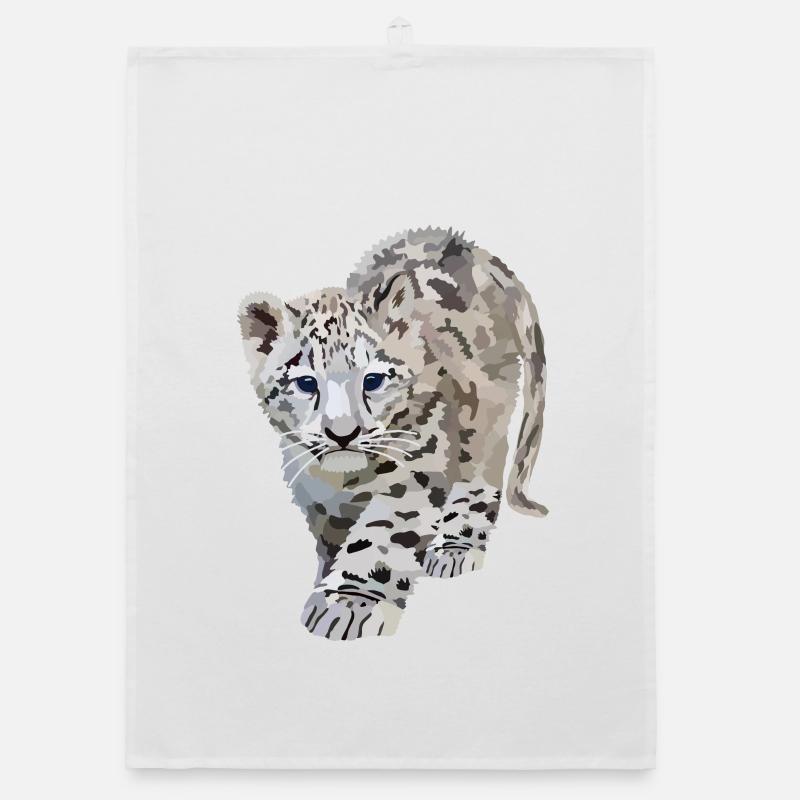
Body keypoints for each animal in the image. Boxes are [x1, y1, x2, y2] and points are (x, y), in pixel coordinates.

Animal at [238, 227, 547, 640]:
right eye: (305, 382)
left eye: (373, 380)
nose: (342, 434)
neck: (344, 482)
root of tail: (464, 245)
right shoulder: (315, 497)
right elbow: (333, 537)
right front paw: (327, 577)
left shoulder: (415, 473)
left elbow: (378, 537)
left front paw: (346, 602)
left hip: (485, 421)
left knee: (480, 476)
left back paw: (455, 547)